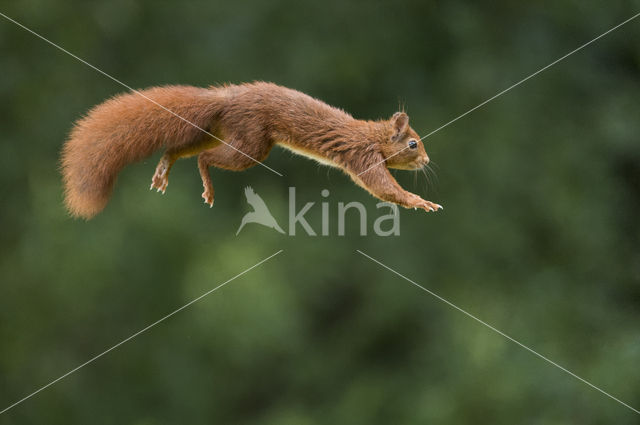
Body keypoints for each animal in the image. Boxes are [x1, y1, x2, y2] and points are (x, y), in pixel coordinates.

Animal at [61, 82, 440, 219]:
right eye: (413, 143)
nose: (427, 160)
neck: (372, 135)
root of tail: (227, 98)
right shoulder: (363, 157)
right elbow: (383, 187)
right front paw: (421, 201)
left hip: (221, 132)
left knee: (183, 147)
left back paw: (165, 167)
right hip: (251, 146)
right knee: (205, 157)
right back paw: (207, 186)